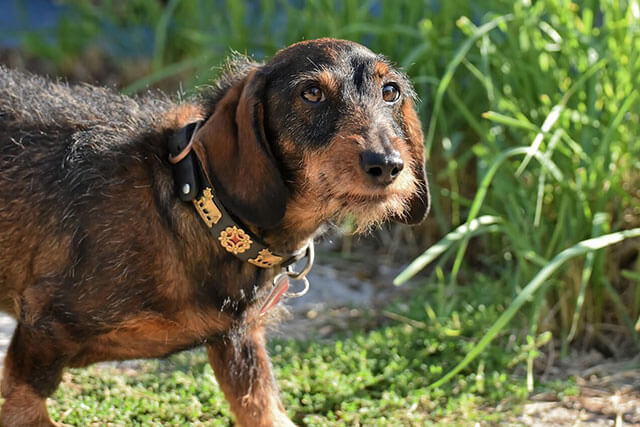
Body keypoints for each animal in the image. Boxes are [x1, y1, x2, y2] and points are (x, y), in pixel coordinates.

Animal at [0, 38, 430, 426]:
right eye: (311, 93)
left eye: (390, 92)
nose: (387, 164)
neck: (199, 207)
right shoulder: (42, 332)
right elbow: (28, 405)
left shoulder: (238, 344)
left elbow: (263, 408)